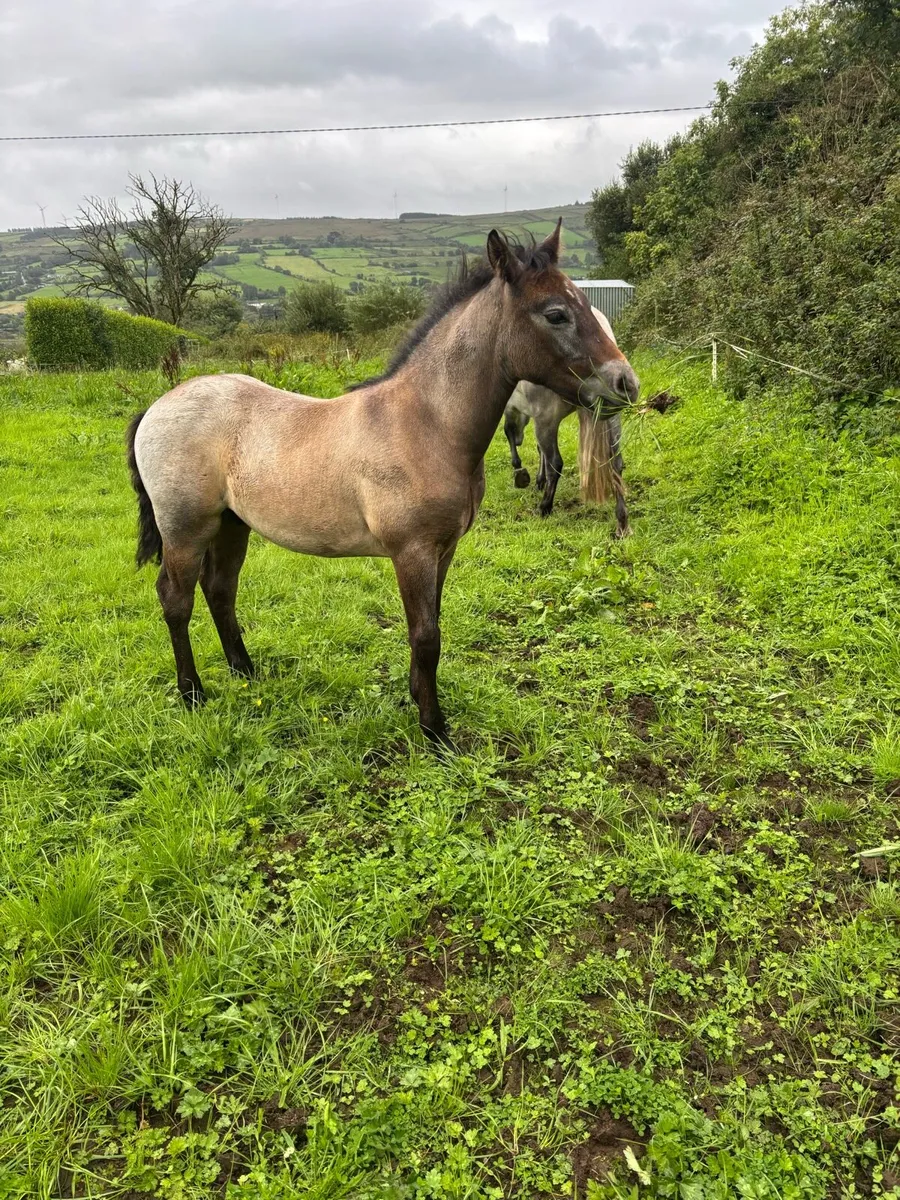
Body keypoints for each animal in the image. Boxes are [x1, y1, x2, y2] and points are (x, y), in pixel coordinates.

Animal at [503, 306, 631, 535]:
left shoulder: (521, 413)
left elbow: (510, 434)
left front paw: (521, 474)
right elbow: (539, 449)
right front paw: (538, 480)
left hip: (548, 420)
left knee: (556, 463)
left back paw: (545, 508)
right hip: (612, 416)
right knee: (616, 463)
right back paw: (622, 522)